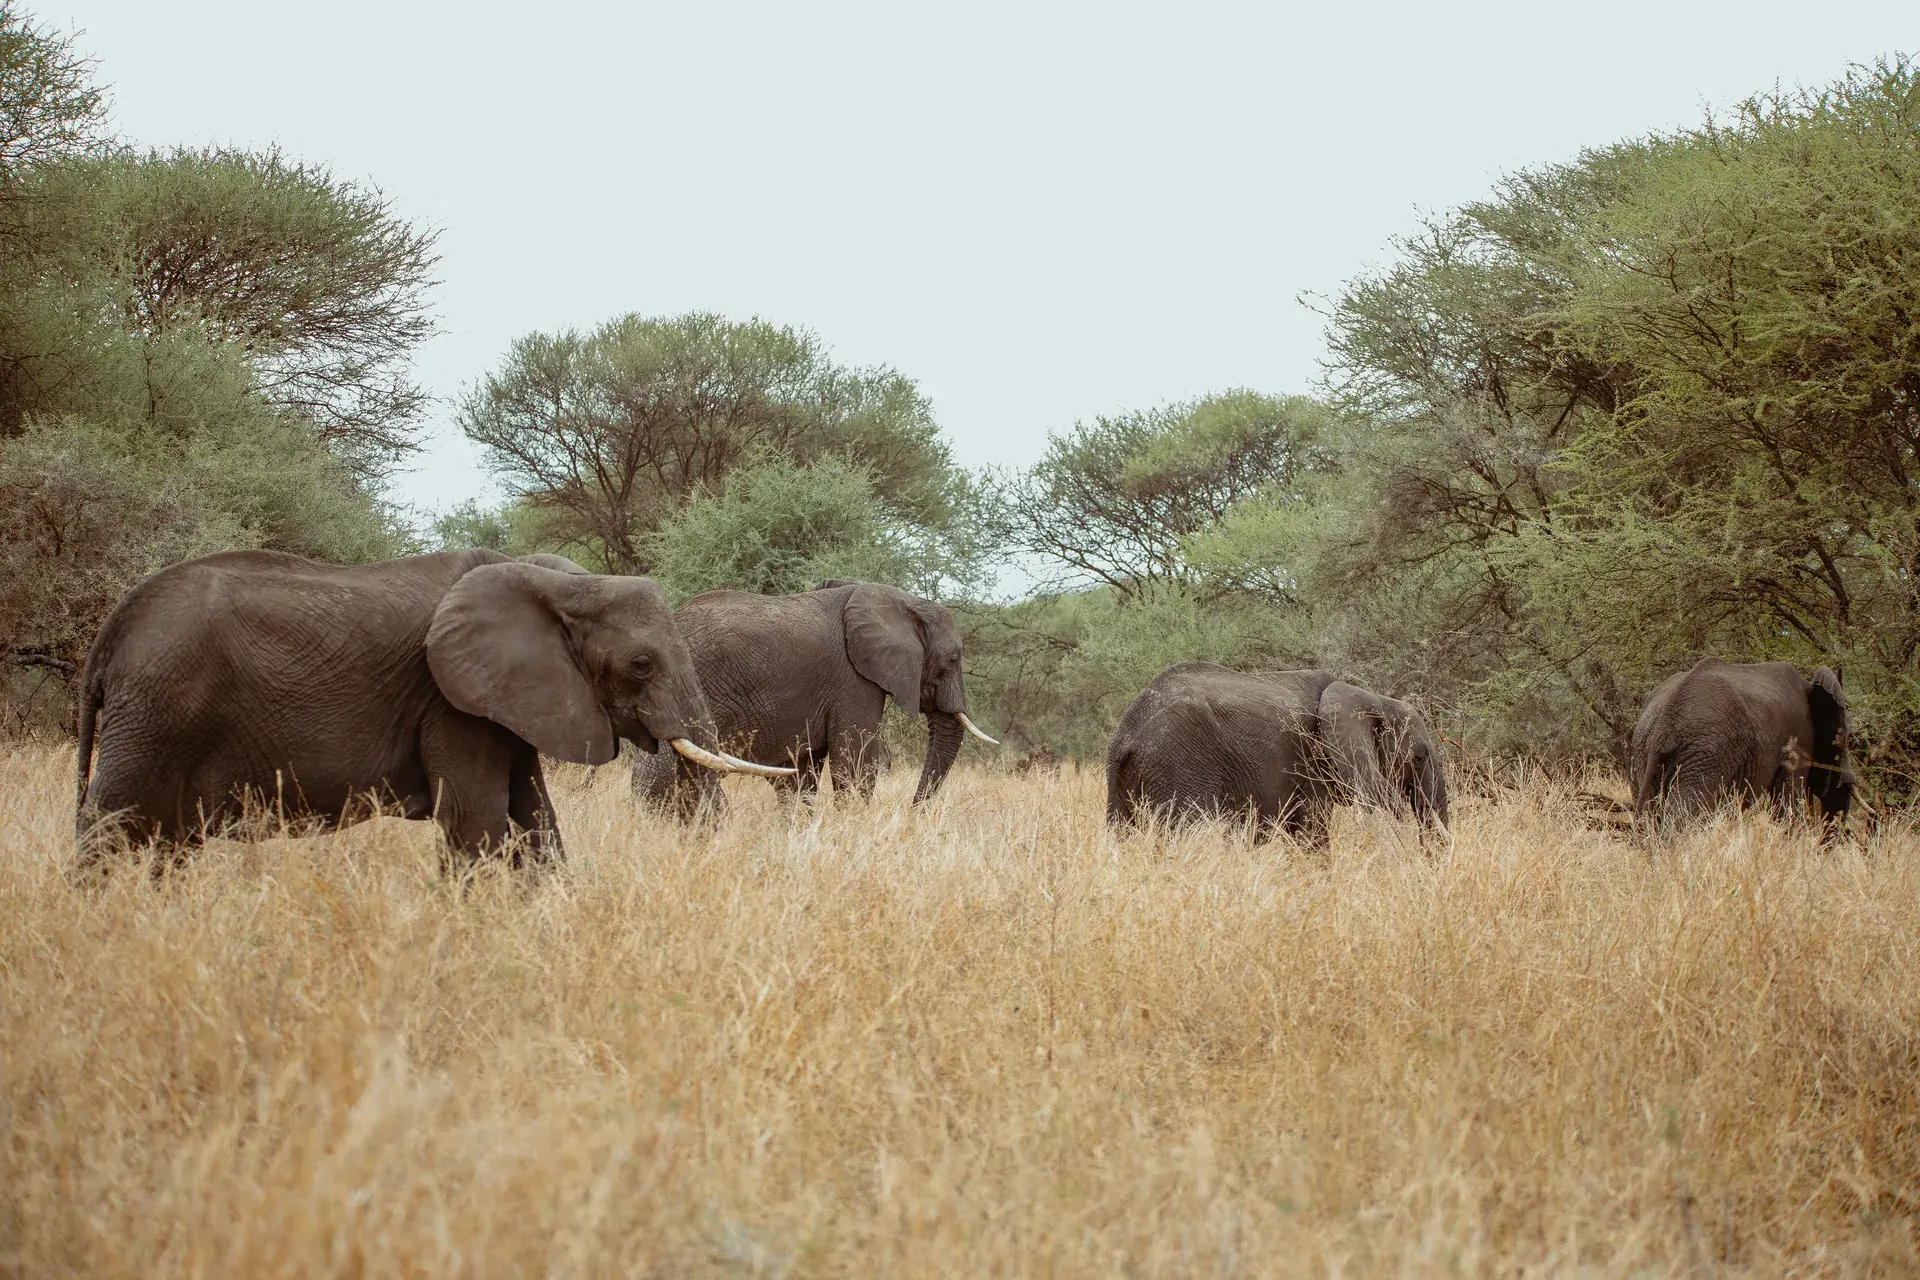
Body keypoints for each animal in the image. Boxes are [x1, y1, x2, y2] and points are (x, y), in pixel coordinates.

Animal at [73, 548, 788, 867]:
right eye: (641, 663)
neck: (554, 582)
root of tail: (110, 634)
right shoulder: (451, 702)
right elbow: (478, 820)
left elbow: (536, 818)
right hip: (158, 711)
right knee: (113, 825)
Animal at [633, 578, 997, 811]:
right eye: (953, 659)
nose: (914, 811)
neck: (902, 601)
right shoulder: (853, 679)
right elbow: (853, 764)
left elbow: (801, 775)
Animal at [1105, 661, 1450, 844]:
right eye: (1419, 758)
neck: (1369, 696)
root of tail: (1126, 736)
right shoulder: (1311, 762)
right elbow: (1312, 833)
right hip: (1180, 765)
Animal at [1629, 657, 1852, 829]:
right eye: (1846, 737)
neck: (1810, 686)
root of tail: (1663, 727)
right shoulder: (1799, 738)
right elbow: (1788, 803)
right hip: (1705, 755)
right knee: (1683, 812)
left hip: (1644, 750)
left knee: (1649, 811)